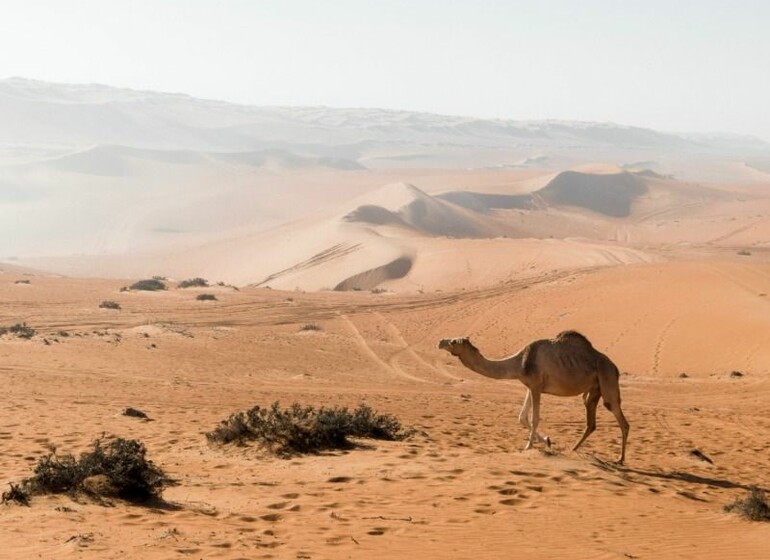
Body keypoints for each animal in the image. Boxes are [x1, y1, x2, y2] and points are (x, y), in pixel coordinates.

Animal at [436, 330, 628, 462]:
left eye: (452, 341)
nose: (440, 341)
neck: (520, 362)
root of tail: (616, 367)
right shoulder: (530, 387)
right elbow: (522, 417)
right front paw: (548, 441)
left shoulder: (536, 386)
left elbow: (535, 418)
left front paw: (528, 446)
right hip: (593, 390)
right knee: (591, 421)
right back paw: (574, 449)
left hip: (607, 379)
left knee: (620, 418)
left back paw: (620, 459)